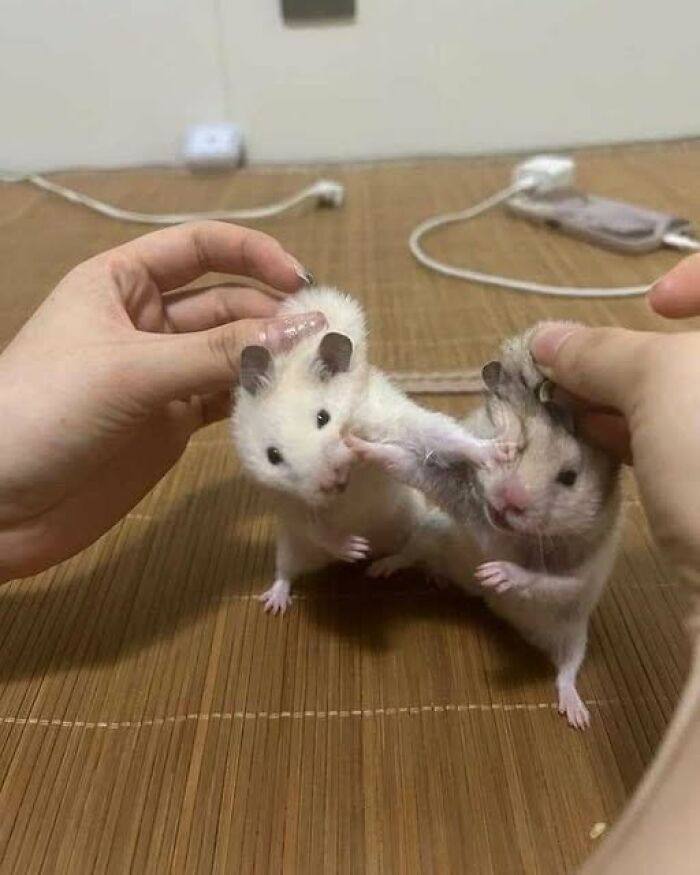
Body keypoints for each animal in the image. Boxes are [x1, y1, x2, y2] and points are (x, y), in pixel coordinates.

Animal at [231, 286, 505, 615]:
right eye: (273, 456)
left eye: (323, 418)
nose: (330, 482)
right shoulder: (287, 502)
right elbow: (316, 527)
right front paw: (355, 547)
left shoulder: (390, 417)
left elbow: (440, 435)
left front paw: (495, 452)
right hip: (291, 547)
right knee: (287, 571)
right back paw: (277, 602)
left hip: (413, 522)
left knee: (414, 554)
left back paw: (400, 569)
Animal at [349, 325, 622, 729]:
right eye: (518, 447)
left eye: (569, 477)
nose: (510, 501)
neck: (507, 534)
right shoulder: (460, 499)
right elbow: (407, 464)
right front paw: (355, 444)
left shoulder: (578, 575)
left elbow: (544, 580)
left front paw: (493, 574)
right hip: (433, 530)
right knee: (411, 553)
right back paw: (389, 570)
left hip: (573, 634)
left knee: (567, 669)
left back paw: (577, 714)